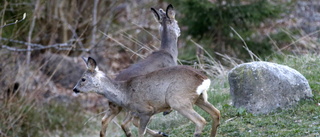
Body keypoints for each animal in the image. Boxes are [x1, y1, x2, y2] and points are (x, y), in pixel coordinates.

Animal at [74, 56, 221, 137]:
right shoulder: (138, 112)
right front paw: (161, 134)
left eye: (83, 79)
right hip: (199, 99)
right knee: (216, 113)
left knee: (201, 120)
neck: (125, 94)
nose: (75, 89)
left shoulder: (146, 110)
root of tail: (203, 79)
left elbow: (140, 132)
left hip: (177, 99)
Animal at [97, 4, 180, 137]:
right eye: (176, 22)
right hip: (134, 103)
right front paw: (167, 111)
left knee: (105, 120)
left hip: (115, 106)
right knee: (126, 122)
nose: (179, 31)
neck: (169, 53)